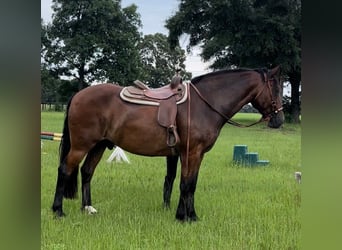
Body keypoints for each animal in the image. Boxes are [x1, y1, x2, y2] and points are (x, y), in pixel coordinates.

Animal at [52, 66, 284, 221]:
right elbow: (186, 184)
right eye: (277, 89)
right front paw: (187, 217)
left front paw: (186, 214)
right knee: (65, 169)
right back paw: (58, 210)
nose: (279, 120)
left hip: (99, 145)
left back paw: (87, 208)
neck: (204, 104)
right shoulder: (191, 152)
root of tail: (78, 95)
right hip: (81, 145)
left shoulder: (192, 154)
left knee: (86, 172)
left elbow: (189, 183)